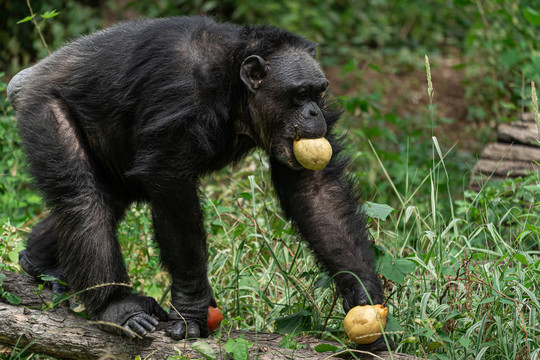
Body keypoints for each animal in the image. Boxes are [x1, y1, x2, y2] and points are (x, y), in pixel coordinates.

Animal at [8, 16, 392, 348]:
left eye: (317, 92)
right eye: (299, 94)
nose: (314, 113)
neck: (234, 85)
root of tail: (26, 78)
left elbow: (316, 192)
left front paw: (364, 295)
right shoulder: (181, 95)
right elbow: (173, 193)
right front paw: (192, 309)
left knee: (107, 200)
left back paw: (40, 265)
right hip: (42, 108)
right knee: (83, 199)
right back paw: (116, 307)